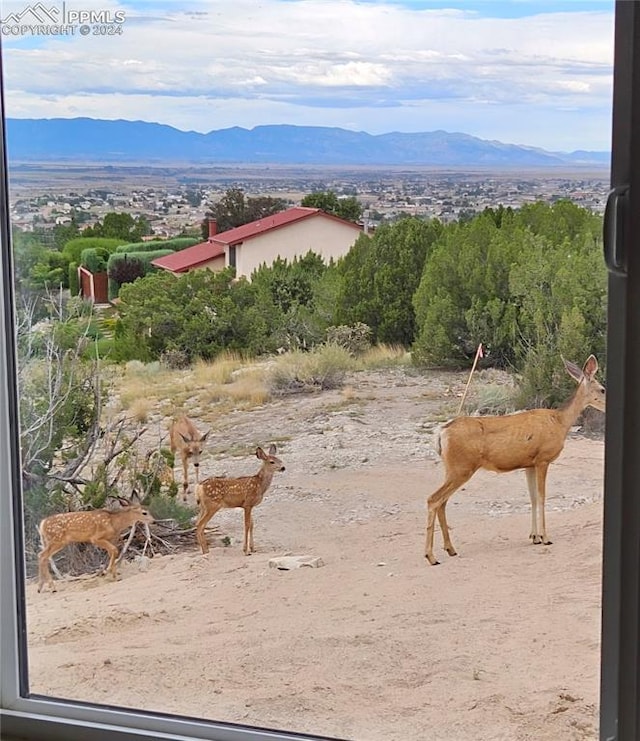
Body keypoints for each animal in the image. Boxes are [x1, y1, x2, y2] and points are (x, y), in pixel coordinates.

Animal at [424, 356, 604, 564]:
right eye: (602, 389)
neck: (560, 421)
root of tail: (441, 432)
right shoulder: (543, 459)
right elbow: (542, 497)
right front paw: (545, 537)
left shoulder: (529, 464)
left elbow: (532, 497)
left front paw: (534, 537)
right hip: (461, 468)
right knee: (433, 499)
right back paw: (431, 556)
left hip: (452, 468)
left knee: (442, 502)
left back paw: (450, 549)